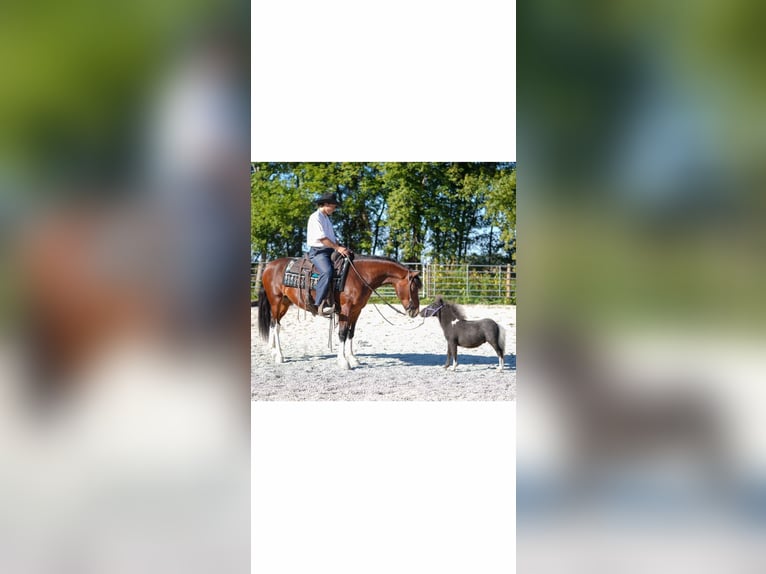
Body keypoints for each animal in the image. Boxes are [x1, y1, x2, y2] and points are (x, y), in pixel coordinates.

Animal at [257, 255, 422, 369]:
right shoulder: (345, 309)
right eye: (413, 287)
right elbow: (342, 333)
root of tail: (269, 266)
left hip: (284, 303)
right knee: (276, 326)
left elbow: (351, 333)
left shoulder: (356, 310)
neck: (360, 276)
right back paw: (279, 355)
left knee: (274, 324)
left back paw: (273, 350)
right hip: (276, 301)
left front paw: (353, 358)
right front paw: (343, 361)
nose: (415, 311)